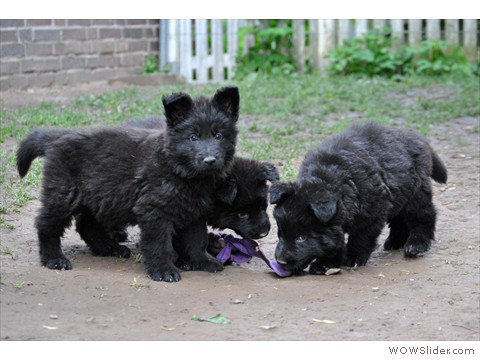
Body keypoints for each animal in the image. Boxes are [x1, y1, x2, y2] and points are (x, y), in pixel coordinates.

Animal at [16, 86, 240, 282]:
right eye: (193, 137)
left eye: (218, 135)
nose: (210, 160)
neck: (179, 170)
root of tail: (58, 136)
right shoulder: (153, 210)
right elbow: (159, 243)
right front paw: (163, 270)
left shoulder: (195, 212)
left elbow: (196, 242)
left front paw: (202, 261)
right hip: (64, 194)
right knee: (46, 224)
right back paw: (54, 258)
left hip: (101, 196)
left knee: (87, 224)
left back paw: (109, 248)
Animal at [270, 121, 446, 276]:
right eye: (280, 233)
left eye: (301, 238)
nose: (280, 261)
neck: (330, 180)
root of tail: (417, 137)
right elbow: (335, 240)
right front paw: (327, 263)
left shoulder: (373, 211)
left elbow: (360, 237)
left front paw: (351, 257)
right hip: (399, 192)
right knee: (399, 219)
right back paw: (396, 241)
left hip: (416, 192)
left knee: (424, 215)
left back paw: (417, 244)